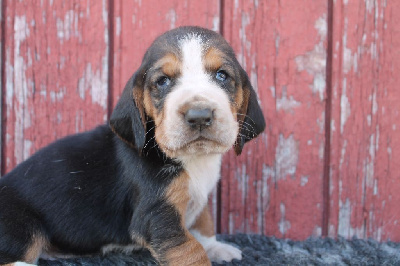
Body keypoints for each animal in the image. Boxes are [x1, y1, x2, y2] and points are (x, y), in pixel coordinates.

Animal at [0, 26, 266, 264]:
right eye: (162, 81)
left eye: (222, 75)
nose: (199, 115)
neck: (192, 158)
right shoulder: (157, 215)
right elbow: (189, 249)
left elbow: (204, 221)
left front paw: (215, 246)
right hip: (22, 223)